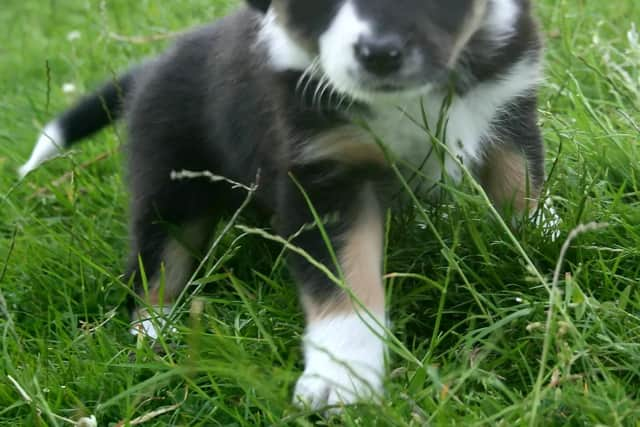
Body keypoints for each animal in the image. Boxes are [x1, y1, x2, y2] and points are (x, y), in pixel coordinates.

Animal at [22, 0, 548, 412]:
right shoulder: (325, 175)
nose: (379, 55)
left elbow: (523, 190)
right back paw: (155, 331)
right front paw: (341, 380)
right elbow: (343, 282)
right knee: (155, 265)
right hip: (169, 188)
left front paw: (543, 257)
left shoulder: (508, 114)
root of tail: (155, 64)